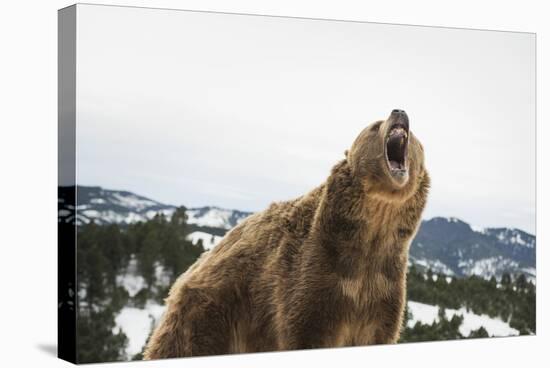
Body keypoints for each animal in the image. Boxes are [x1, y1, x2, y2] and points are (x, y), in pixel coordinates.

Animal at [143, 109, 432, 360]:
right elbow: (306, 329)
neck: (373, 231)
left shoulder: (382, 287)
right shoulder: (313, 277)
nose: (399, 112)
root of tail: (189, 272)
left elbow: (380, 330)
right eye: (374, 125)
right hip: (207, 315)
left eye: (416, 137)